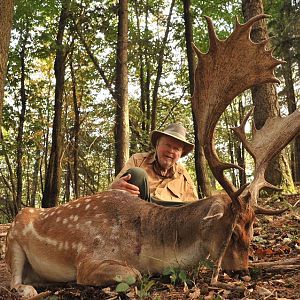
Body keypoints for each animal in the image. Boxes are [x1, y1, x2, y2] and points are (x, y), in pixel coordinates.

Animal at [4, 14, 300, 298]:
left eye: (252, 229)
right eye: (233, 231)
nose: (242, 272)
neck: (147, 247)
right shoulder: (88, 261)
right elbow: (133, 274)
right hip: (13, 238)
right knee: (12, 279)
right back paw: (27, 289)